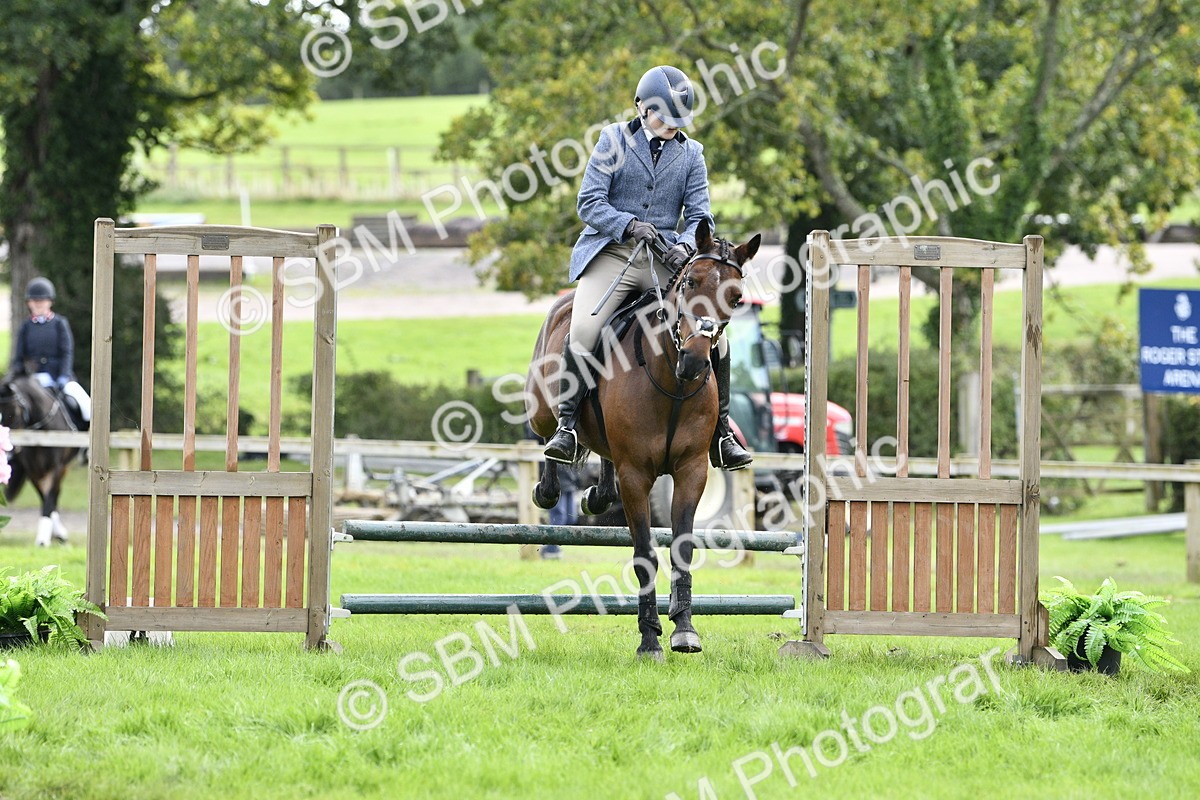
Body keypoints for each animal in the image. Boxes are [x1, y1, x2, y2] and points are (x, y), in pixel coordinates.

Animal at [0, 374, 82, 546]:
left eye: (13, 412)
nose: (9, 451)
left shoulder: (56, 468)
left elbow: (49, 498)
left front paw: (43, 540)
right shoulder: (33, 472)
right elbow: (44, 497)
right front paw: (51, 533)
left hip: (64, 468)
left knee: (56, 492)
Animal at [526, 219, 760, 659]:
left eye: (735, 298)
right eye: (690, 282)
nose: (695, 361)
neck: (672, 380)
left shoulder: (691, 472)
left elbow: (682, 548)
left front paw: (684, 630)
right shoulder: (636, 476)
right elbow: (644, 554)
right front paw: (650, 639)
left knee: (601, 454)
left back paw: (598, 495)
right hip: (542, 407)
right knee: (548, 435)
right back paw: (551, 479)